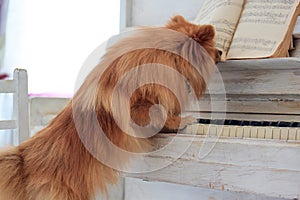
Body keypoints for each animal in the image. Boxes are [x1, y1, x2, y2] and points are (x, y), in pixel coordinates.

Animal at [0, 16, 219, 200]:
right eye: (214, 47)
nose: (221, 52)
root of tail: (23, 161)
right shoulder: (140, 106)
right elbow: (160, 113)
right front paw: (183, 119)